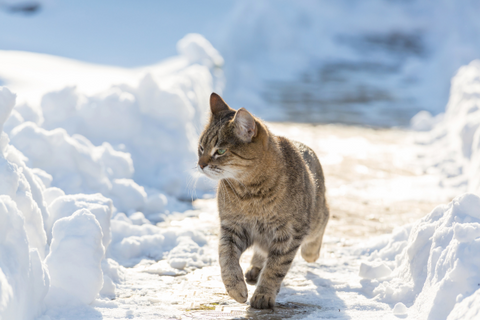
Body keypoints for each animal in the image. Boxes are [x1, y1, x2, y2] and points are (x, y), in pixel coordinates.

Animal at [197, 93, 328, 310]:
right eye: (200, 148)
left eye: (220, 151)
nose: (200, 165)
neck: (250, 194)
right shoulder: (232, 227)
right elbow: (226, 258)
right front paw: (236, 287)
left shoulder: (289, 233)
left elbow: (275, 268)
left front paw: (264, 294)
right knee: (261, 251)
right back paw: (255, 268)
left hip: (314, 220)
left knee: (324, 219)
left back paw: (310, 252)